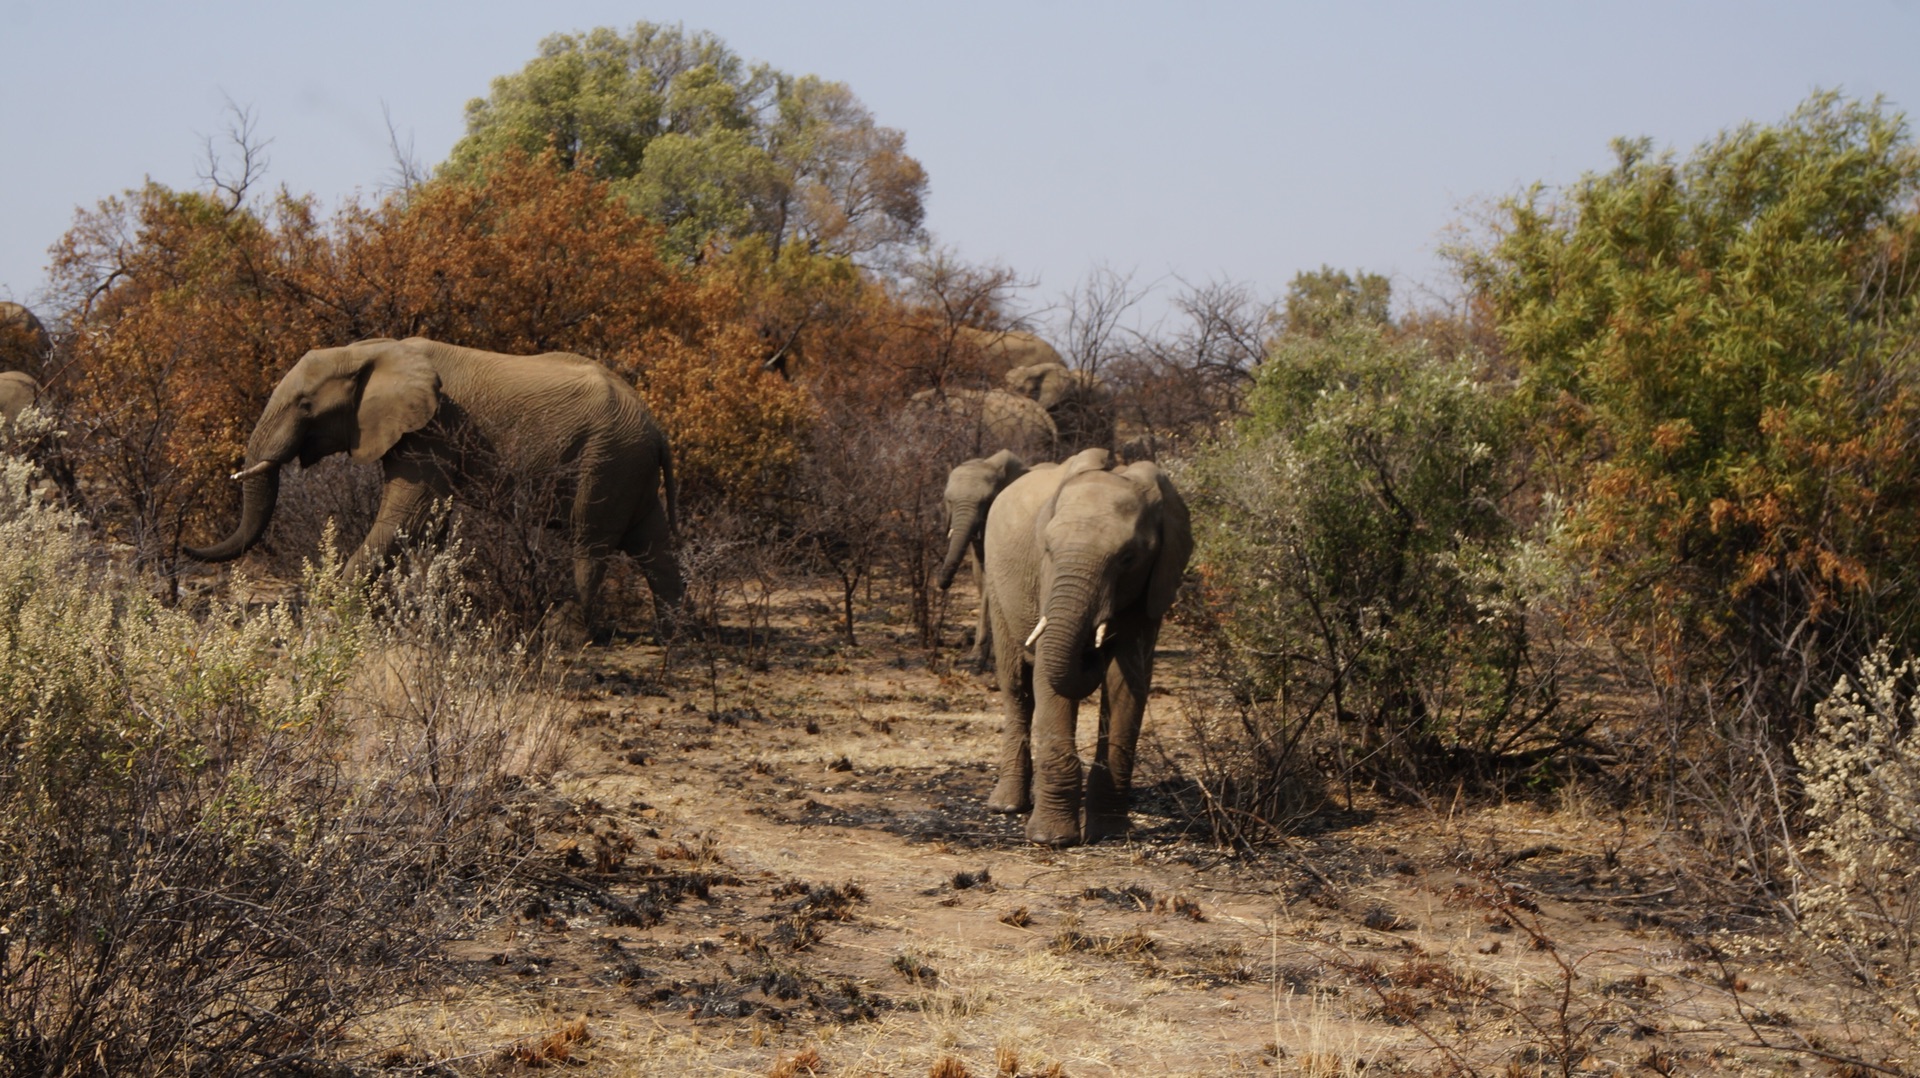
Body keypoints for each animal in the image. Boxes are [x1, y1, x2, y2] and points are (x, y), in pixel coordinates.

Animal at [187, 336, 683, 634]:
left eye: (306, 404)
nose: (188, 550)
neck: (370, 350)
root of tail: (658, 430)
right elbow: (429, 527)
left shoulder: (433, 431)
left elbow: (405, 518)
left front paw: (334, 614)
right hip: (630, 466)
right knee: (655, 546)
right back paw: (675, 635)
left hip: (609, 461)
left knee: (590, 545)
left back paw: (567, 631)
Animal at [933, 447, 1029, 668]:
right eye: (948, 500)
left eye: (986, 502)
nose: (943, 583)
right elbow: (982, 577)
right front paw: (977, 656)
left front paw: (977, 659)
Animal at [983, 445, 1190, 841]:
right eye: (1047, 548)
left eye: (1128, 558)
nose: (1092, 650)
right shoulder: (1046, 578)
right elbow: (1047, 677)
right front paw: (1050, 839)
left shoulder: (1153, 584)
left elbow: (1127, 682)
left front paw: (1110, 833)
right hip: (995, 586)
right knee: (1017, 688)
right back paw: (1007, 806)